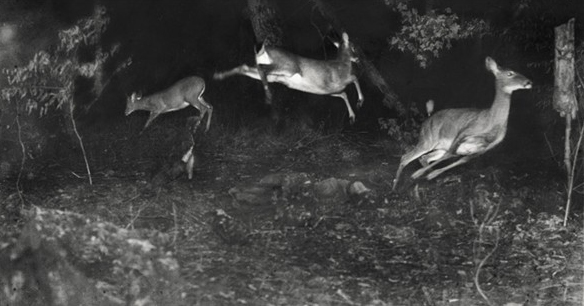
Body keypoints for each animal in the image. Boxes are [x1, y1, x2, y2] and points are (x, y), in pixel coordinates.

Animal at [212, 32, 362, 123]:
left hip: (276, 76)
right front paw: (360, 101)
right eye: (354, 47)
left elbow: (344, 94)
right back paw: (268, 95)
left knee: (246, 67)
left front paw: (352, 116)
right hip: (288, 67)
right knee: (262, 68)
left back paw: (219, 75)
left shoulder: (329, 90)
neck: (343, 65)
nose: (358, 59)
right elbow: (355, 78)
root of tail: (264, 49)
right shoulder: (337, 82)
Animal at [392, 56, 532, 191]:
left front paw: (431, 174)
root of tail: (427, 119)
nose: (529, 82)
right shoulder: (464, 132)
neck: (492, 121)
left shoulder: (483, 149)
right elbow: (450, 154)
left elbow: (461, 160)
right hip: (428, 139)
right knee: (406, 157)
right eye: (510, 73)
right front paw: (418, 173)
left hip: (439, 146)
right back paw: (395, 187)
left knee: (424, 158)